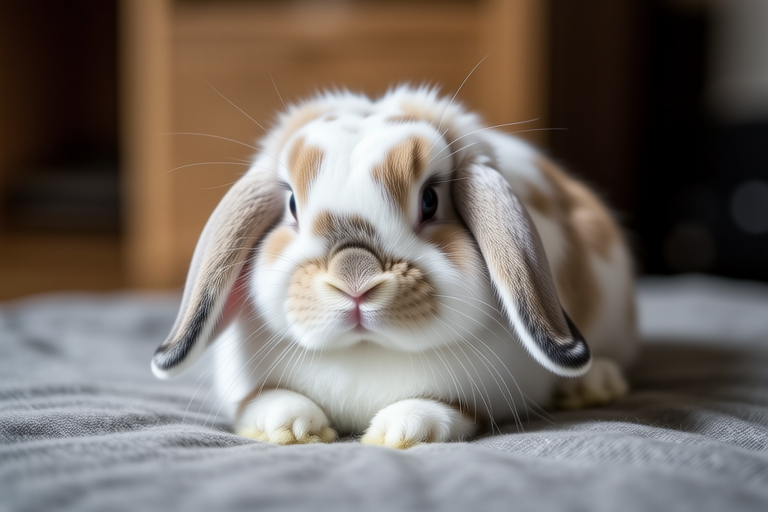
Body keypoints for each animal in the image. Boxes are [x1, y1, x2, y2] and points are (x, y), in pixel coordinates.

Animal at [151, 85, 637, 449]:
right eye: (290, 204)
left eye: (430, 200)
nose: (355, 281)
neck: (364, 353)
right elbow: (262, 399)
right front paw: (291, 426)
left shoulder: (490, 394)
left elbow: (452, 410)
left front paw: (399, 431)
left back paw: (593, 385)